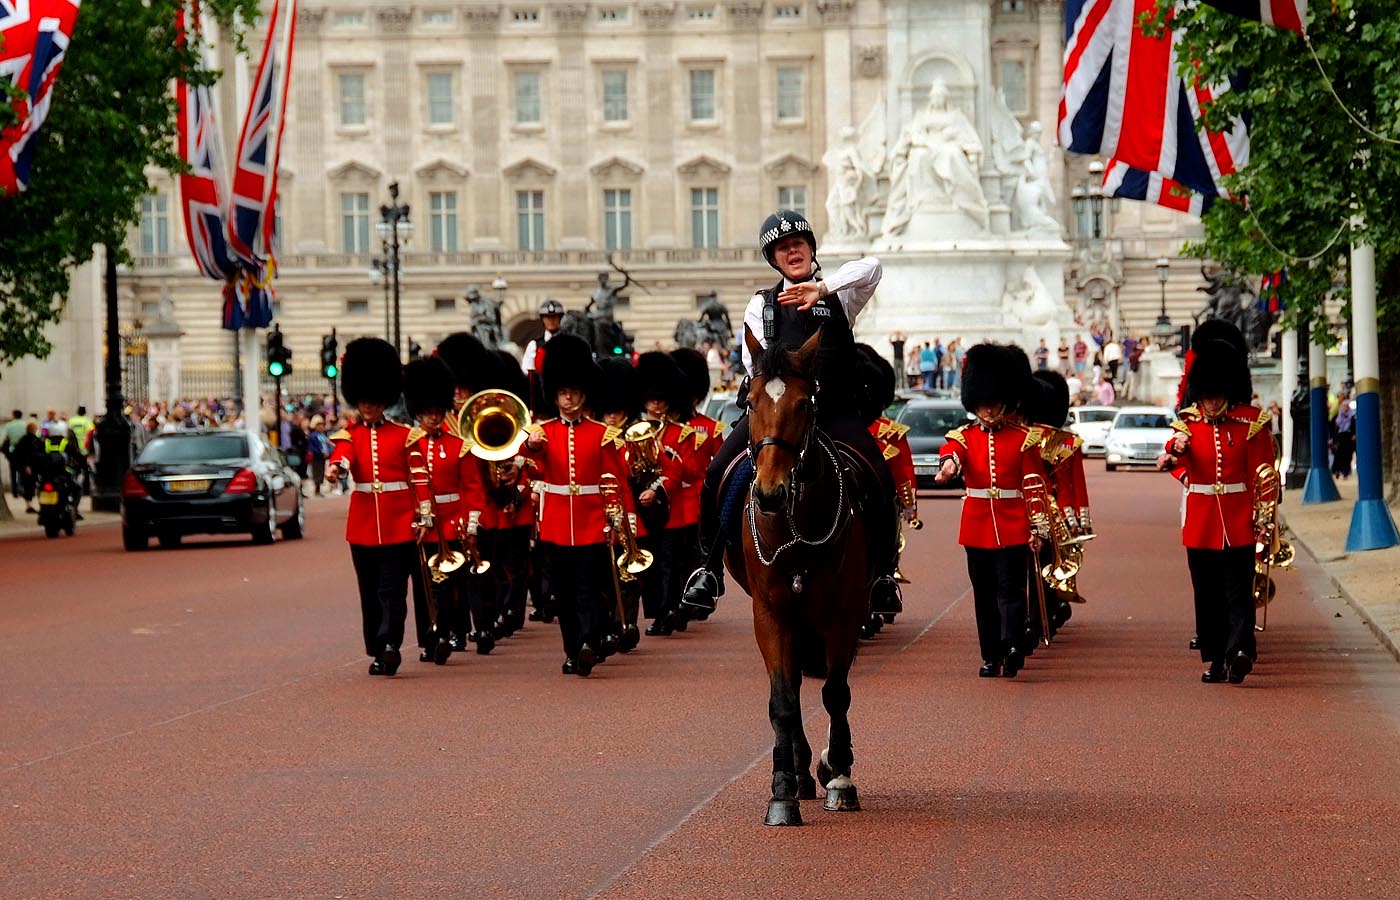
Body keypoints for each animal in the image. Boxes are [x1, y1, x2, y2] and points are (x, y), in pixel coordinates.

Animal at [728, 327, 868, 828]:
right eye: (749, 402)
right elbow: (784, 701)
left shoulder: (845, 614)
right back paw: (801, 770)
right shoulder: (770, 614)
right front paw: (783, 790)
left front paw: (840, 774)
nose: (770, 494)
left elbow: (836, 693)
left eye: (805, 403)